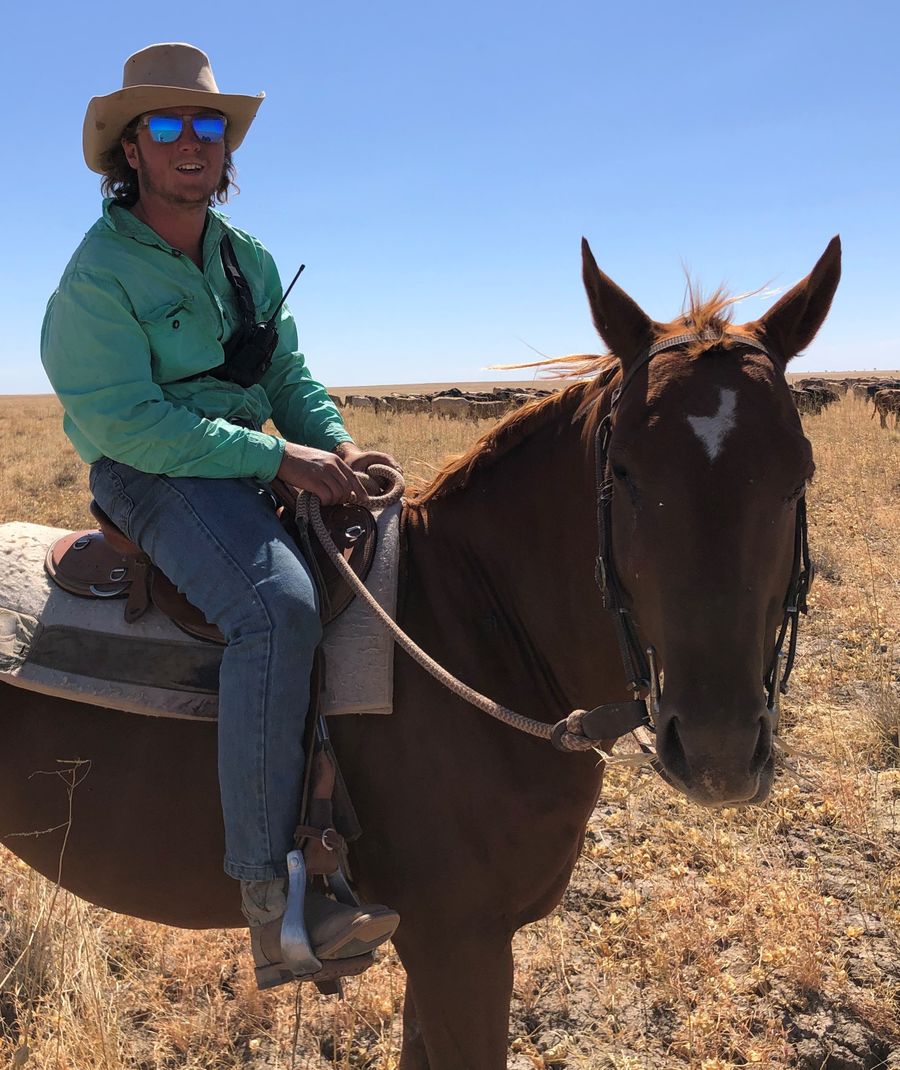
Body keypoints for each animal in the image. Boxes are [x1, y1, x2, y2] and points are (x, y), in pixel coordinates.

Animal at [0, 235, 841, 1069]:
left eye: (800, 470)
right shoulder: (460, 948)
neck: (474, 635)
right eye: (626, 471)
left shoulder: (440, 954)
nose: (719, 752)